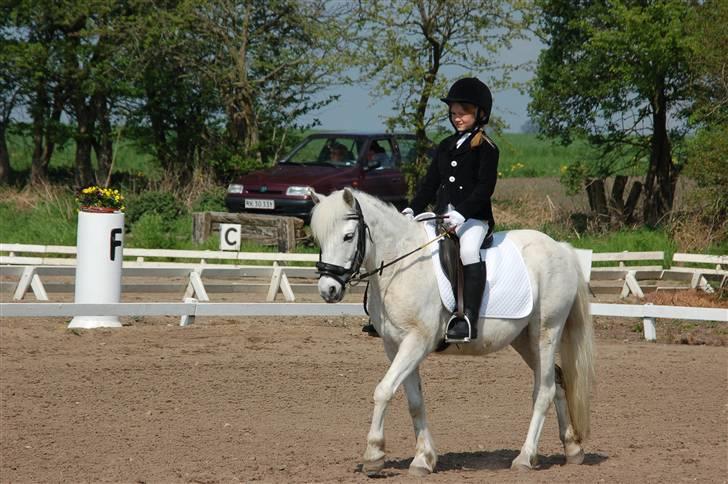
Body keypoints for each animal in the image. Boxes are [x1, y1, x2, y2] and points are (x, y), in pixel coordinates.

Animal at [310, 188, 595, 476]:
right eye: (318, 238)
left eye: (348, 236)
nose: (328, 290)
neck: (400, 265)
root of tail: (561, 248)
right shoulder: (395, 345)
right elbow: (414, 401)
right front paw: (423, 459)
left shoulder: (417, 342)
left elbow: (384, 390)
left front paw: (374, 455)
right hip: (525, 339)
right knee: (557, 381)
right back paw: (572, 448)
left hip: (547, 331)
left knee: (545, 390)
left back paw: (525, 457)